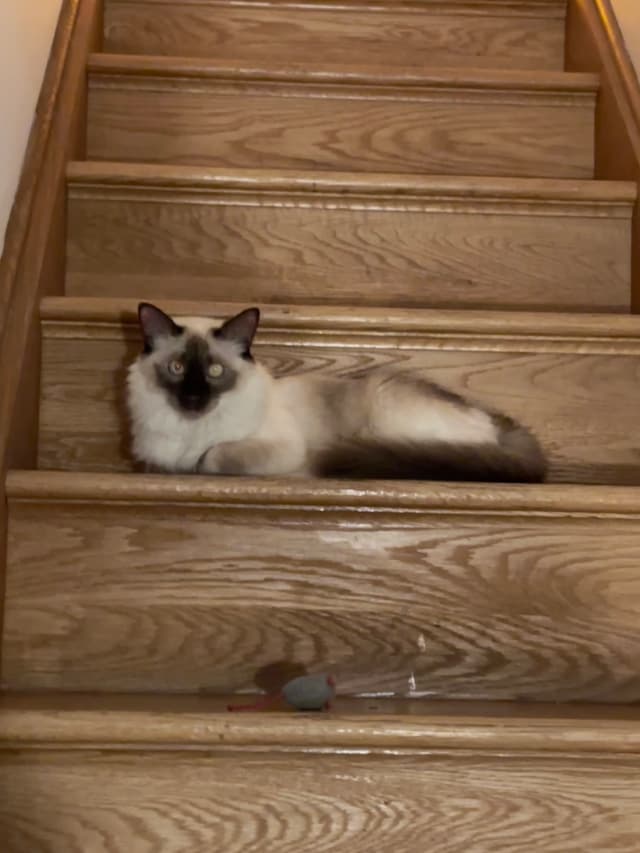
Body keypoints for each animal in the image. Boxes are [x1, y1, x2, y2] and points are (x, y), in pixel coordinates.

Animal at [127, 304, 548, 482]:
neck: (189, 431)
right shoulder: (152, 459)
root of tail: (497, 423)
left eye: (215, 372)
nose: (193, 400)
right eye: (176, 369)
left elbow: (212, 457)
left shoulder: (276, 446)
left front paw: (199, 462)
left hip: (383, 409)